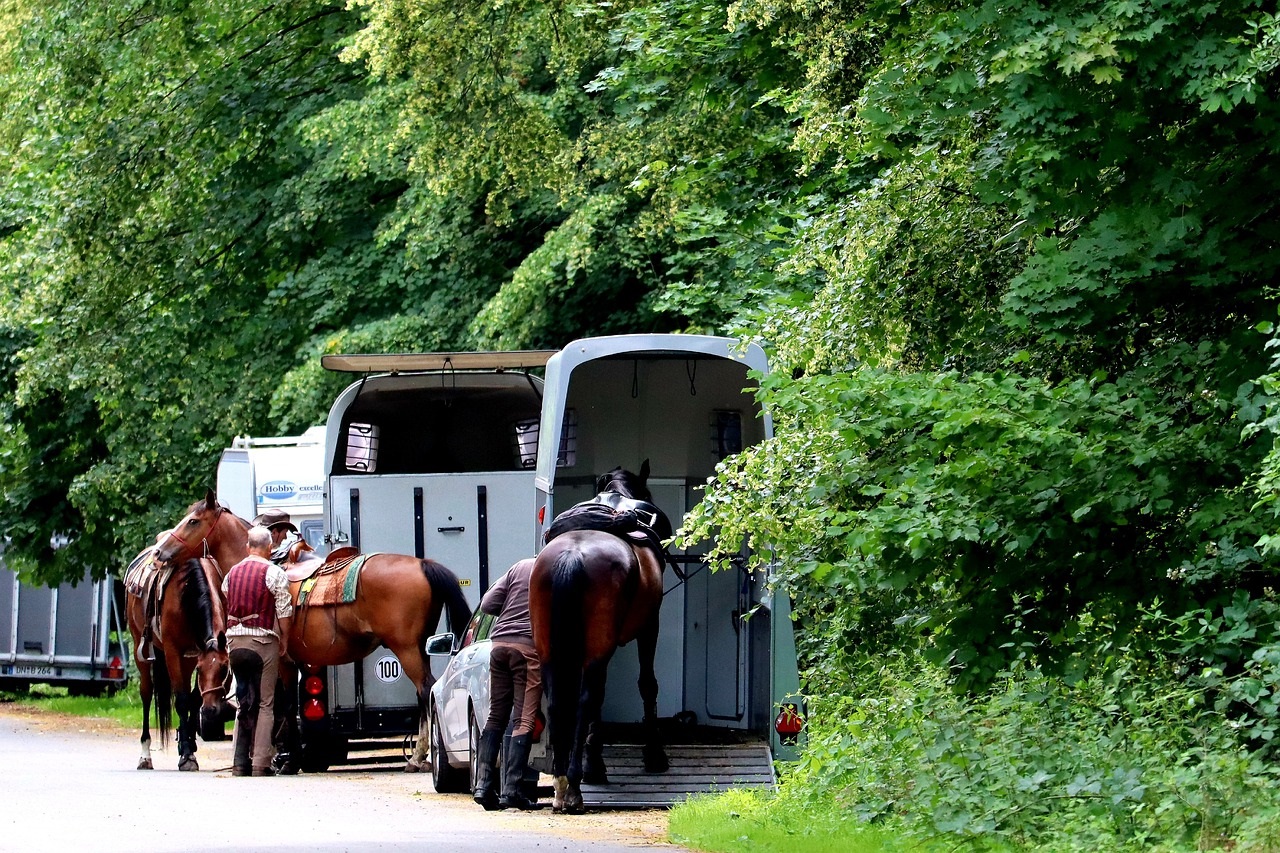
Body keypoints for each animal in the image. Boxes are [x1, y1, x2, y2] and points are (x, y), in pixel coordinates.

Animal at [123, 550, 229, 768]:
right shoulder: (173, 651)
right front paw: (187, 755)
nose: (211, 711)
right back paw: (145, 754)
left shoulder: (194, 654)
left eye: (224, 668)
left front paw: (189, 744)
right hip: (141, 648)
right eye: (203, 669)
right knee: (146, 692)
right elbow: (181, 700)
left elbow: (194, 698)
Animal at [150, 484, 471, 768]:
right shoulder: (299, 662)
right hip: (420, 647)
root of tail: (423, 565)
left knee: (425, 691)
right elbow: (288, 706)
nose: (159, 552)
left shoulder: (281, 660)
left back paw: (418, 757)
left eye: (192, 521)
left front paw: (286, 759)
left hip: (407, 649)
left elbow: (283, 705)